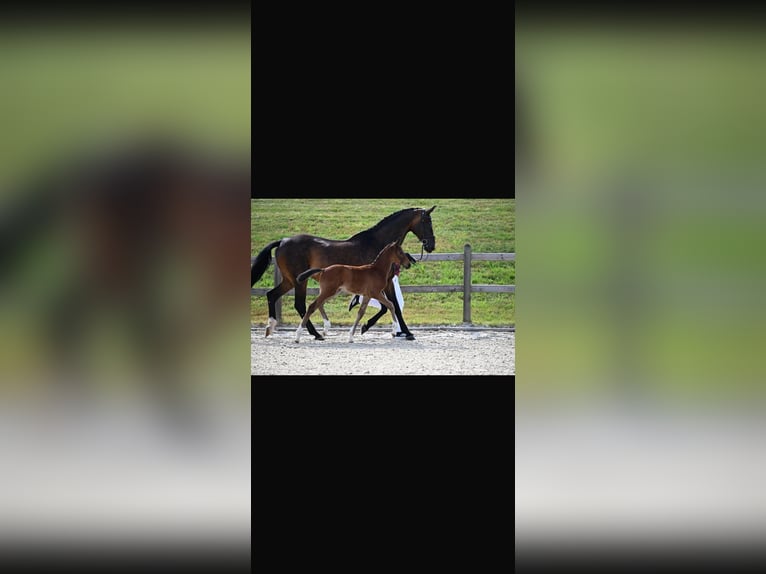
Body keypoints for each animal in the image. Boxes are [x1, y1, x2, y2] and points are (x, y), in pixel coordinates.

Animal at [251, 206, 436, 341]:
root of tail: (282, 241)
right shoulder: (385, 283)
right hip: (299, 281)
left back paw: (270, 328)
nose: (431, 245)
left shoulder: (380, 285)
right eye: (426, 221)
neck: (377, 244)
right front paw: (403, 332)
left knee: (272, 295)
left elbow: (387, 306)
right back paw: (315, 333)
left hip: (290, 280)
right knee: (301, 304)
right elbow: (392, 305)